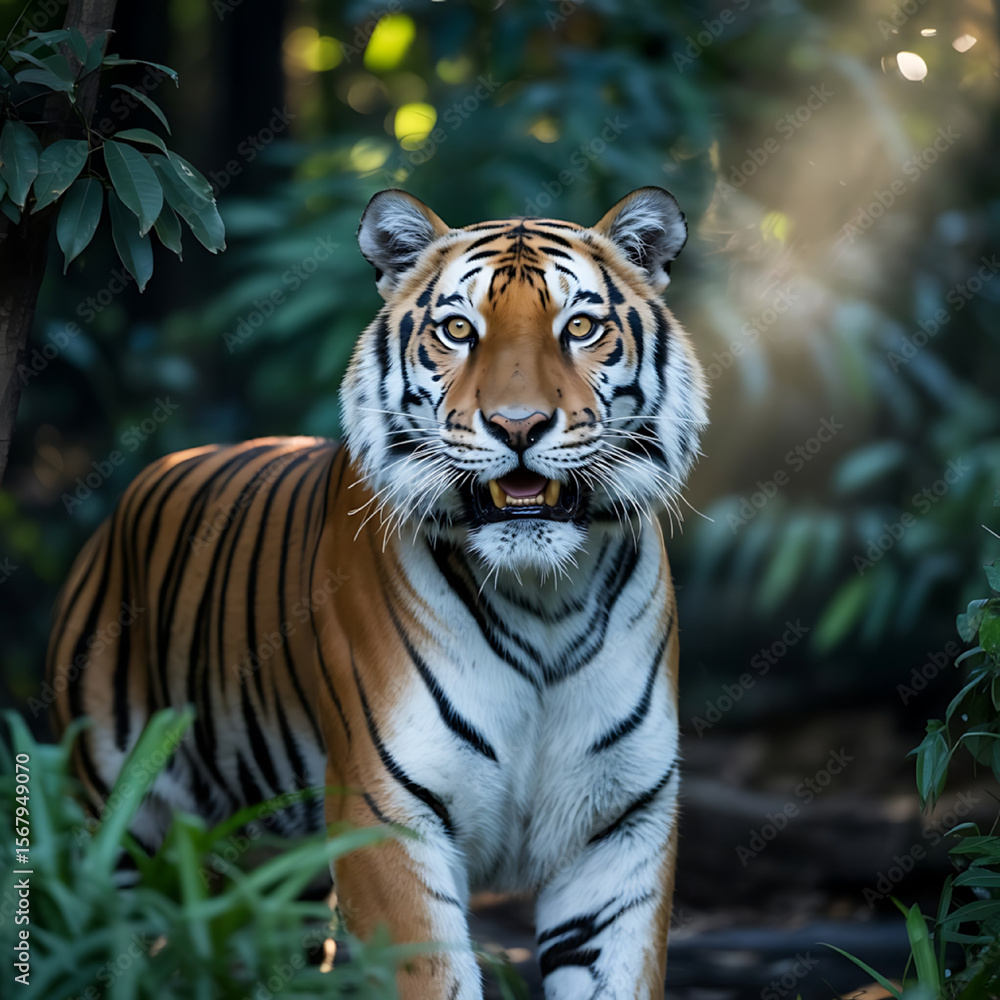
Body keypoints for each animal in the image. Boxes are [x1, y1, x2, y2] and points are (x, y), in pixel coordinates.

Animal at [47, 186, 709, 1000]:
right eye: (458, 330)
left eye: (580, 327)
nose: (518, 426)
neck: (543, 601)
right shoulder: (385, 813)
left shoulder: (620, 827)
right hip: (112, 824)